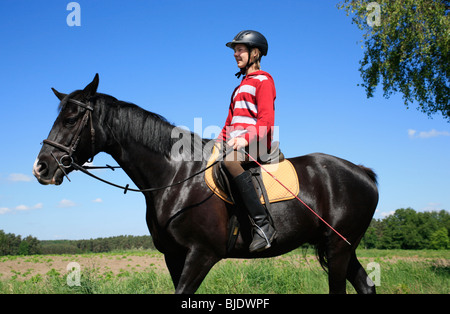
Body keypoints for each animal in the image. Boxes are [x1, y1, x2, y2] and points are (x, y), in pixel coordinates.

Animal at [33, 74, 380, 294]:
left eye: (70, 119)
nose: (41, 167)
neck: (174, 176)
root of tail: (363, 173)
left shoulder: (202, 253)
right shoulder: (174, 256)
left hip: (339, 247)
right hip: (341, 246)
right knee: (365, 284)